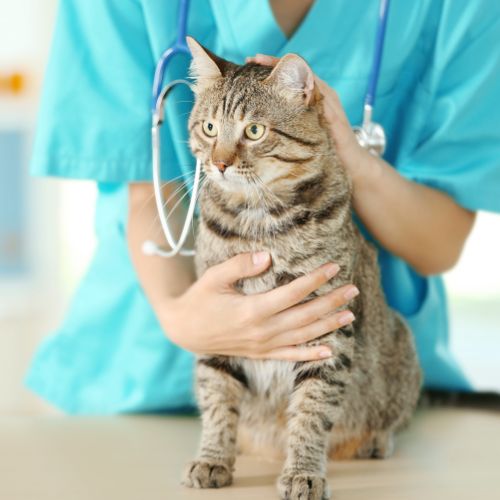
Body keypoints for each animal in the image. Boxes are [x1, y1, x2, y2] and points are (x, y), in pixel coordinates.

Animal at [182, 38, 420, 500]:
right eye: (210, 128)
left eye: (254, 131)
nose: (219, 163)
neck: (260, 222)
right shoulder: (219, 317)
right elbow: (217, 398)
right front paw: (213, 457)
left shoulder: (328, 329)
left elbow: (311, 411)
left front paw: (303, 472)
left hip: (401, 345)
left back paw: (375, 440)